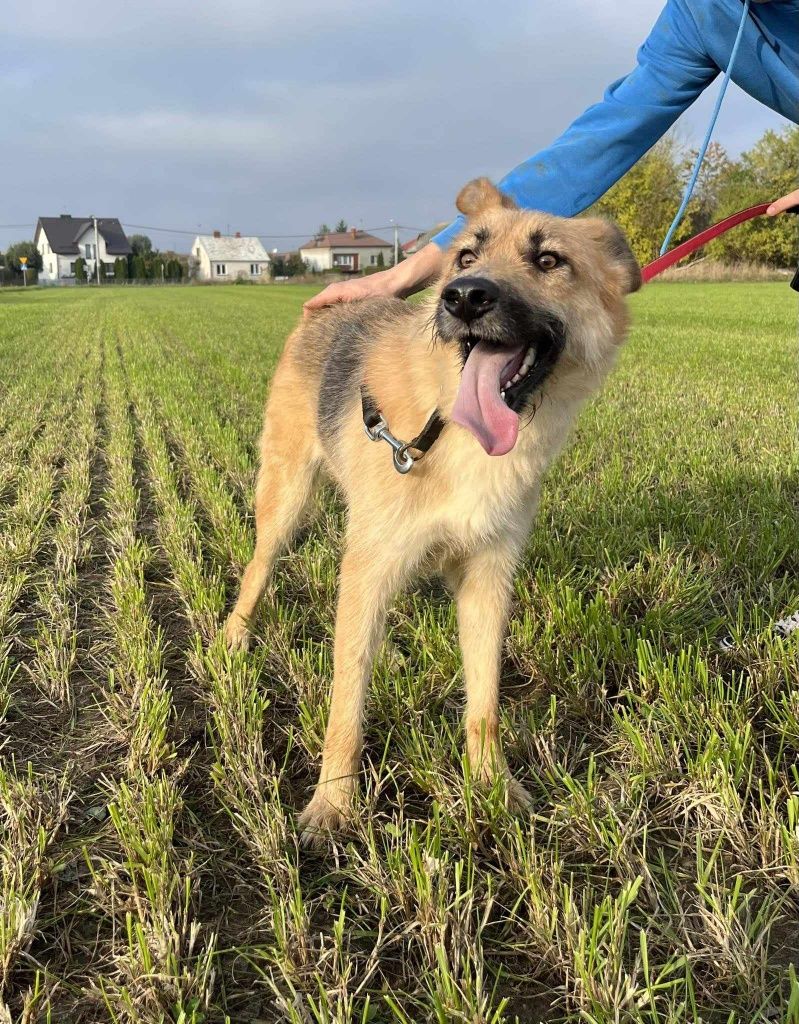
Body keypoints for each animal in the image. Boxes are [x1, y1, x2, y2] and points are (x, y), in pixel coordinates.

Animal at [226, 180, 643, 843]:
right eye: (466, 256)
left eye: (549, 260)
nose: (464, 296)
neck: (453, 429)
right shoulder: (369, 567)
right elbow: (346, 703)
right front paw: (334, 803)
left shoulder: (486, 579)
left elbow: (485, 700)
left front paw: (492, 784)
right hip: (286, 499)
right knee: (258, 568)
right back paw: (235, 635)